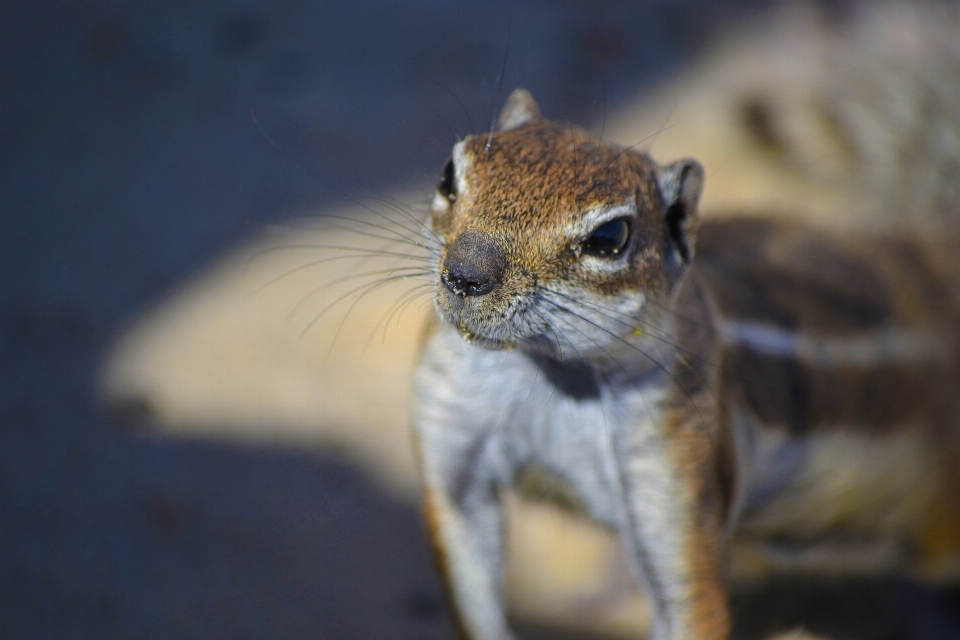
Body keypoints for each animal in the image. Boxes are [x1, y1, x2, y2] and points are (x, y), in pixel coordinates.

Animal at [414, 87, 960, 636]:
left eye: (610, 237)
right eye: (447, 174)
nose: (465, 275)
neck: (547, 374)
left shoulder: (675, 473)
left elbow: (690, 600)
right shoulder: (450, 428)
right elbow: (468, 568)